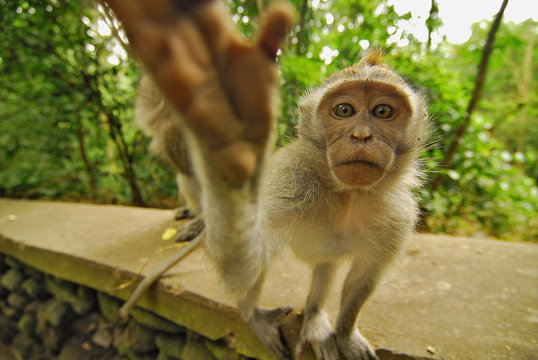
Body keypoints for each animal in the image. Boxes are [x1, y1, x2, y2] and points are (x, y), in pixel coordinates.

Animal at [107, 1, 430, 358]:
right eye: (344, 110)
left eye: (382, 112)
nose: (361, 135)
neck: (347, 194)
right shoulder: (291, 183)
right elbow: (246, 259)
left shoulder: (397, 214)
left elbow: (362, 278)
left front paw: (345, 335)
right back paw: (252, 313)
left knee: (326, 267)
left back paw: (314, 316)